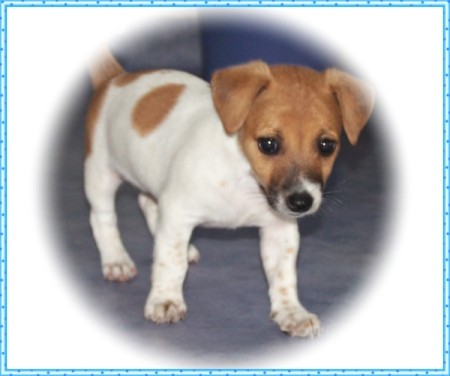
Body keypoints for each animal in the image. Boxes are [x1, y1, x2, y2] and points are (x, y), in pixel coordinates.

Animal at [84, 50, 372, 338]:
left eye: (327, 145)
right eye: (269, 144)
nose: (301, 202)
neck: (244, 174)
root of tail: (115, 77)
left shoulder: (279, 231)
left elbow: (283, 276)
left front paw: (291, 312)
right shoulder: (177, 214)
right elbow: (171, 263)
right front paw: (166, 300)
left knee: (147, 202)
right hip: (101, 174)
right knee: (102, 219)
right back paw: (116, 260)